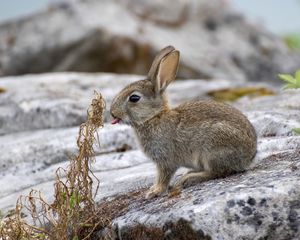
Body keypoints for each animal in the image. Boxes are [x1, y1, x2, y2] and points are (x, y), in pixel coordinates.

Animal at [111, 46, 256, 198]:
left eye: (134, 98)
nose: (112, 112)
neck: (154, 117)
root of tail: (249, 157)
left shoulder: (166, 159)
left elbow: (164, 176)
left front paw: (154, 191)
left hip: (213, 148)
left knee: (218, 172)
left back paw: (189, 178)